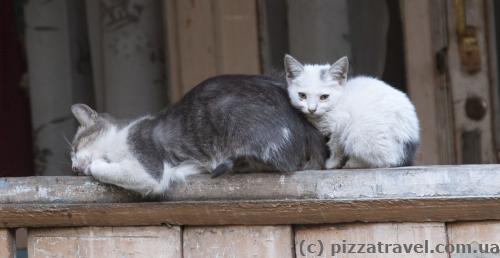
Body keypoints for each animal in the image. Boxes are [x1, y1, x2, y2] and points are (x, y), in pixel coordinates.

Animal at [286, 54, 418, 168]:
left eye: (324, 97)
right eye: (302, 95)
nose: (312, 109)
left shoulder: (341, 122)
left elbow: (335, 145)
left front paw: (331, 163)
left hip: (359, 133)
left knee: (386, 161)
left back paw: (355, 163)